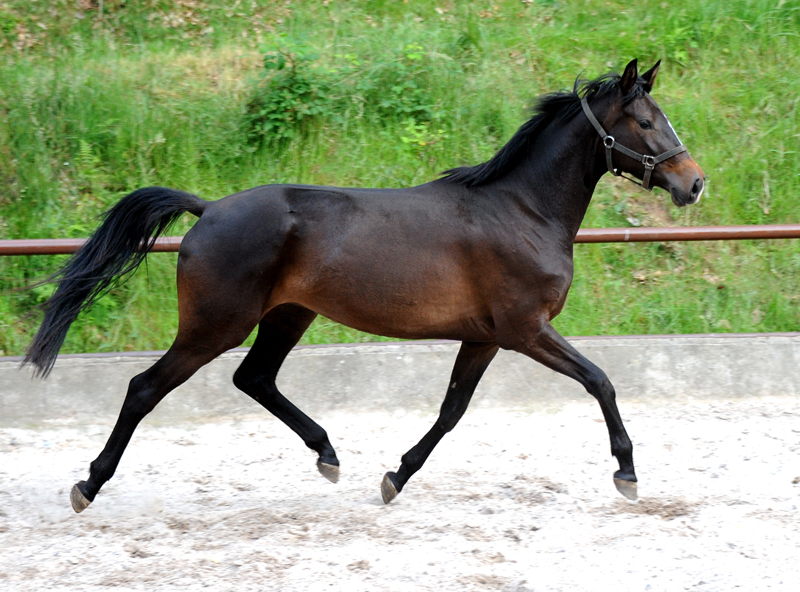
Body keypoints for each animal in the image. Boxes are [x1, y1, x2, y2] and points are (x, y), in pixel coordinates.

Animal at [21, 59, 704, 512]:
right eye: (646, 121)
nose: (693, 183)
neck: (523, 210)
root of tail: (208, 208)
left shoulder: (486, 338)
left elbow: (451, 410)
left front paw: (395, 477)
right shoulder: (527, 330)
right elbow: (601, 382)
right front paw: (627, 472)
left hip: (288, 315)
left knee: (255, 378)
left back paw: (328, 455)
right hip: (215, 325)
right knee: (145, 388)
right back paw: (88, 484)